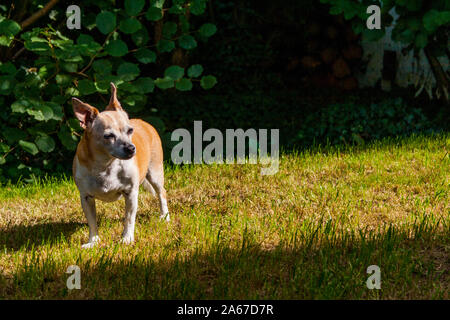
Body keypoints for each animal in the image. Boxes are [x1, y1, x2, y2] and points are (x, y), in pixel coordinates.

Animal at [71, 82, 170, 248]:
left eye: (130, 130)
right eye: (108, 136)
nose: (131, 148)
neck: (105, 165)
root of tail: (144, 122)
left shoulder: (131, 193)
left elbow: (129, 219)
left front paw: (126, 239)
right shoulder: (86, 197)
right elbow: (92, 222)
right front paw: (93, 241)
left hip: (155, 173)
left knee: (161, 192)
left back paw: (165, 216)